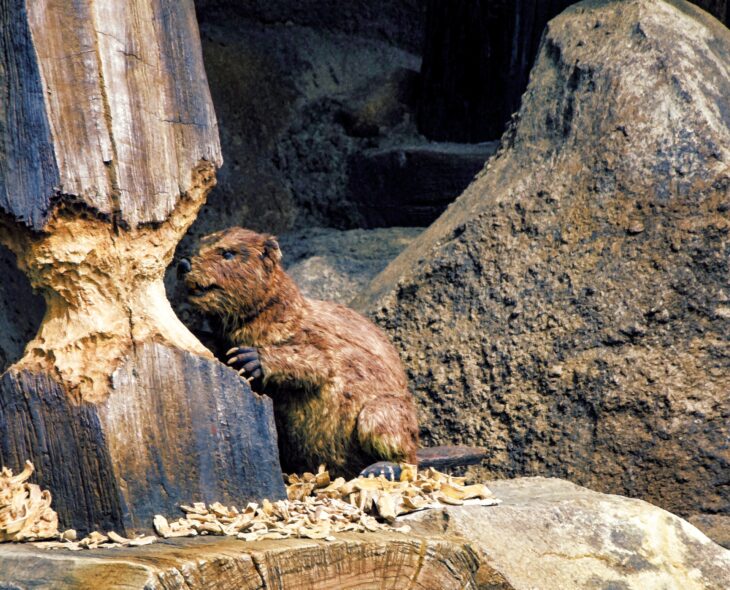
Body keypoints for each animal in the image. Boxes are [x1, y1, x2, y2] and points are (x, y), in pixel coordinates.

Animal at [176, 228, 484, 480]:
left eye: (228, 253)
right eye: (200, 244)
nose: (183, 264)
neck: (279, 311)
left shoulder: (319, 339)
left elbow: (318, 363)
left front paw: (250, 359)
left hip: (382, 413)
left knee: (405, 458)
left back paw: (379, 469)